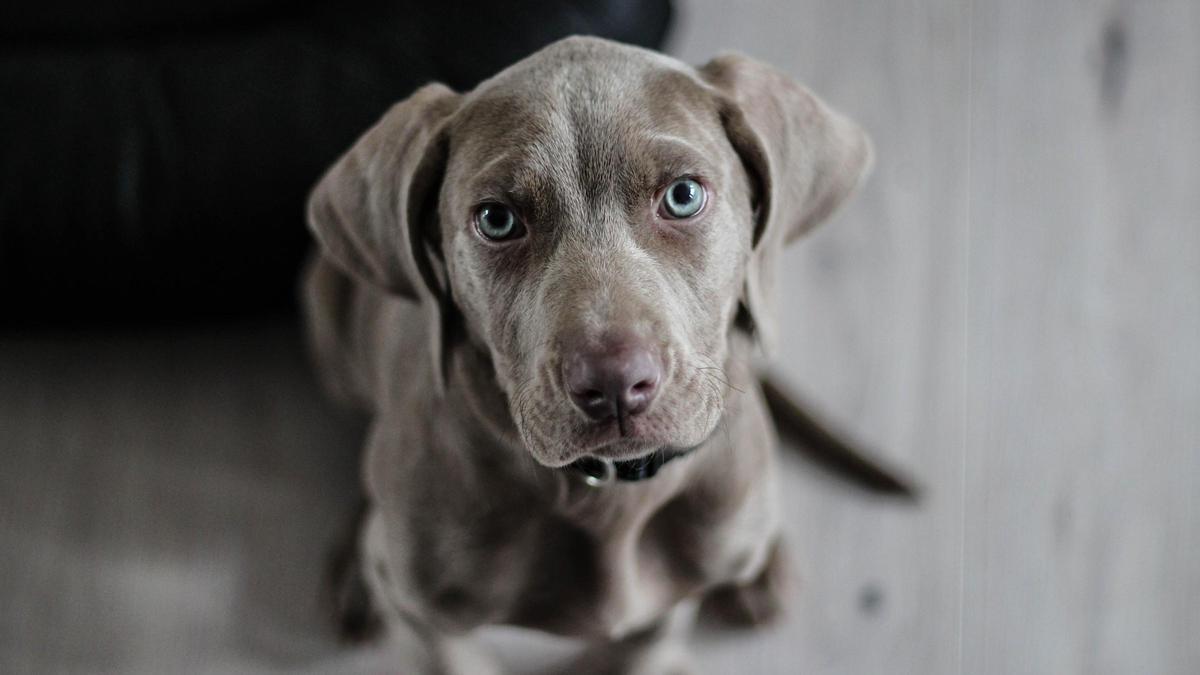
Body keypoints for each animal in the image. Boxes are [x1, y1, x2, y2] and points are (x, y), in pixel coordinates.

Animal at [304, 35, 873, 672]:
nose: (615, 385)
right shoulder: (426, 618)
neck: (609, 495)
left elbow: (644, 648)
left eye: (683, 196)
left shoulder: (670, 602)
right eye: (496, 219)